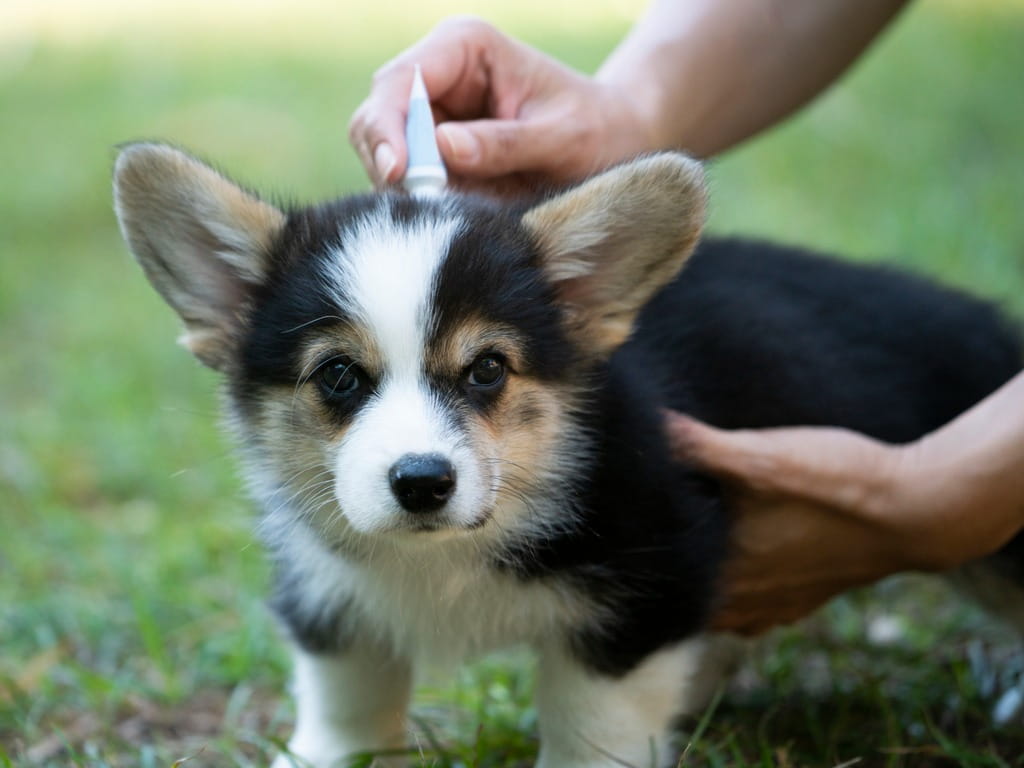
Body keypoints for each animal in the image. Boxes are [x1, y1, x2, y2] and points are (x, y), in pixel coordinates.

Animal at [114, 145, 1024, 768]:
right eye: (338, 376)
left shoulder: (650, 587)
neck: (454, 553)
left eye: (488, 368)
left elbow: (593, 724)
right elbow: (346, 705)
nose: (421, 483)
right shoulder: (330, 600)